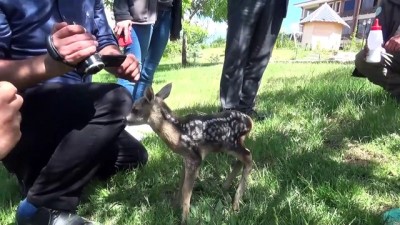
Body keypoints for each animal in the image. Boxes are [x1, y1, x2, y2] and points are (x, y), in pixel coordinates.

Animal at [126, 83, 253, 224]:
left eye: (135, 109)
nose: (125, 120)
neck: (178, 133)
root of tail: (250, 122)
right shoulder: (185, 158)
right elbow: (181, 183)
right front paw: (174, 206)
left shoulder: (195, 157)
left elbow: (187, 190)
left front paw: (184, 219)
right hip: (233, 145)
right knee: (241, 160)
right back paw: (224, 187)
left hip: (232, 143)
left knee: (248, 158)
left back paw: (235, 204)